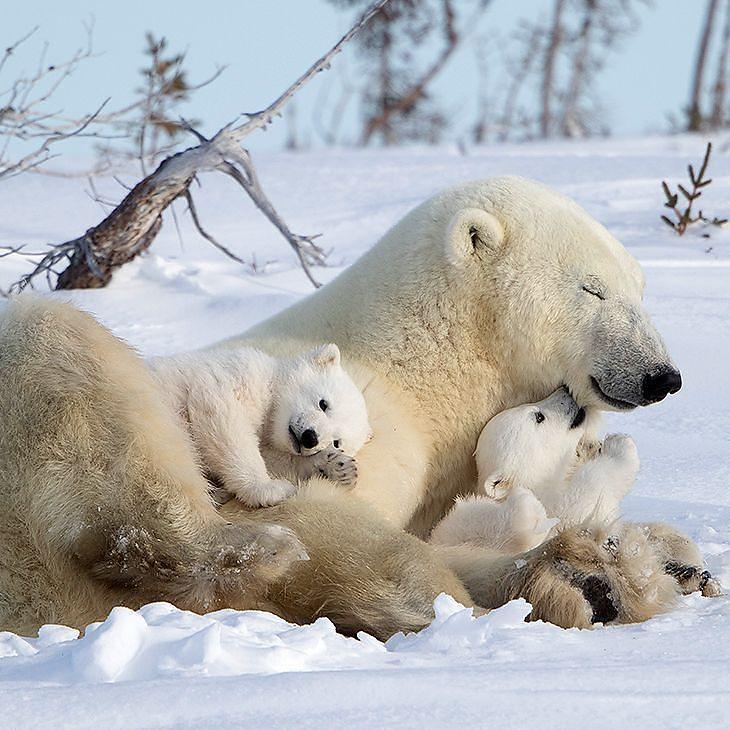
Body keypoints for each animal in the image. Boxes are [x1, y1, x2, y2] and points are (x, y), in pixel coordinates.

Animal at [0, 173, 684, 636]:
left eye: (641, 286)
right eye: (592, 289)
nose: (663, 376)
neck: (420, 359)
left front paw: (611, 569)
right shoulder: (366, 422)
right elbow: (327, 516)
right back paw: (252, 547)